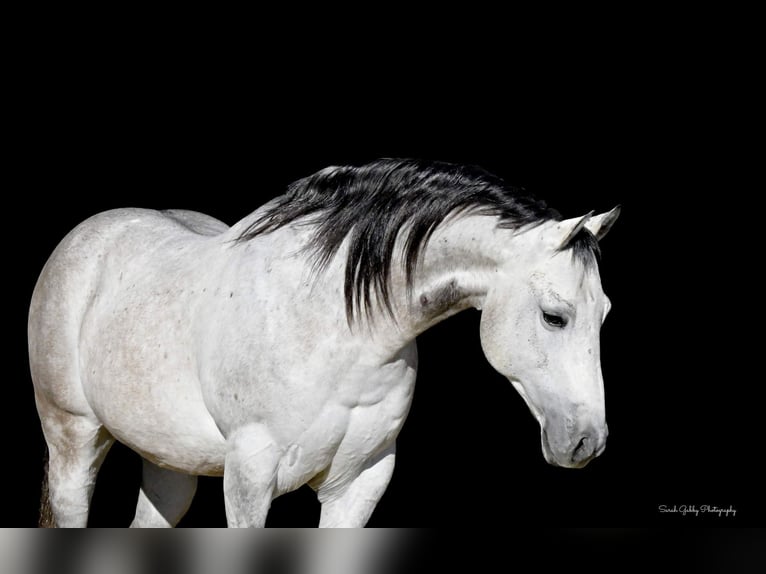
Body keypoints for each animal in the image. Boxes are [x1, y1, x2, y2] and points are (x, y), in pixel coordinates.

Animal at [27, 160, 620, 528]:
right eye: (555, 317)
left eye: (605, 314)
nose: (587, 442)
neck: (339, 333)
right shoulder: (249, 478)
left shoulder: (360, 483)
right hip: (74, 441)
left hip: (169, 462)